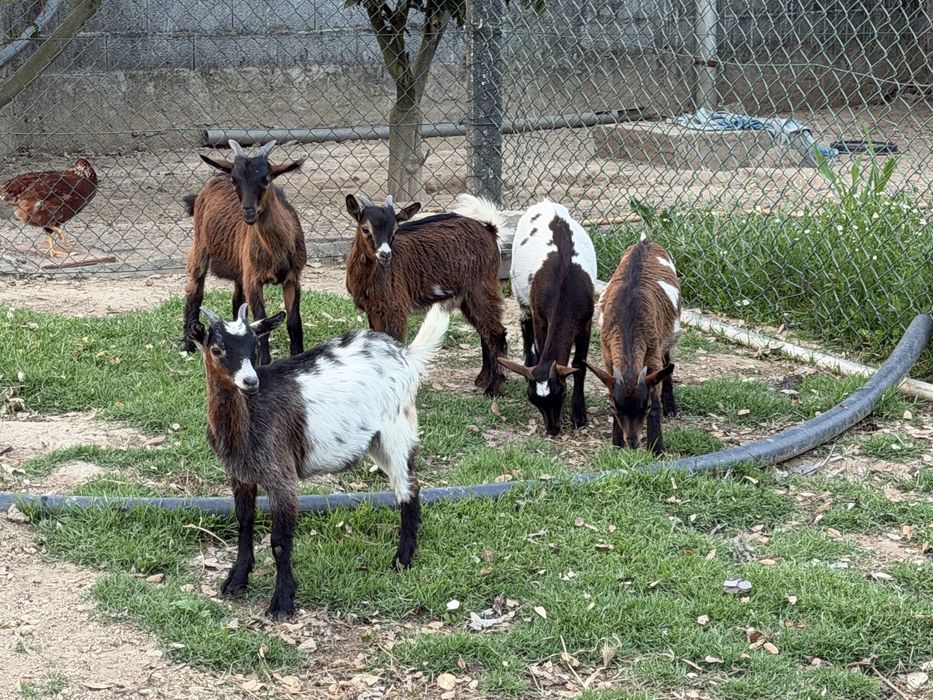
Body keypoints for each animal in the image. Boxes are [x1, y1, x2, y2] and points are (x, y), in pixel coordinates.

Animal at [183, 139, 306, 365]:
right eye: (235, 180)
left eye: (266, 178)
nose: (248, 212)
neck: (277, 250)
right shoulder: (253, 279)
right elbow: (261, 320)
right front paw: (264, 361)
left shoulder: (293, 277)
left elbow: (294, 322)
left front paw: (298, 355)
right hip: (200, 247)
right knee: (194, 291)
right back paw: (188, 344)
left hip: (239, 266)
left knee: (236, 301)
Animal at [187, 302, 450, 620]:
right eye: (217, 349)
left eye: (254, 347)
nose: (250, 381)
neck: (248, 418)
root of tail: (406, 354)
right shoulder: (241, 475)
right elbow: (244, 522)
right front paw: (236, 580)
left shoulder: (282, 475)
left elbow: (280, 541)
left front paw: (282, 603)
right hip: (376, 441)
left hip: (396, 430)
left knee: (408, 488)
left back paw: (402, 560)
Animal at [344, 192, 508, 396]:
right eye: (365, 229)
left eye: (395, 231)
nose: (385, 255)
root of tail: (490, 229)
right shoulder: (373, 310)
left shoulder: (396, 308)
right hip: (468, 298)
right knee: (484, 331)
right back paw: (483, 379)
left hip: (481, 288)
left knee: (496, 332)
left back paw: (494, 388)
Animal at [497, 200, 597, 435]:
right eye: (532, 398)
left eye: (561, 393)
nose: (552, 429)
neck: (564, 284)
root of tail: (545, 203)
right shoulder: (541, 318)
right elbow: (539, 344)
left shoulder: (586, 323)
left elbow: (579, 365)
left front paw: (579, 414)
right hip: (521, 294)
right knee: (525, 325)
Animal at [586, 238, 680, 453]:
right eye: (613, 407)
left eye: (645, 407)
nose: (632, 441)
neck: (628, 317)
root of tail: (645, 242)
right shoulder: (607, 356)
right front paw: (616, 444)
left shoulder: (652, 353)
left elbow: (656, 395)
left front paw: (657, 448)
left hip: (668, 335)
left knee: (668, 362)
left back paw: (671, 407)